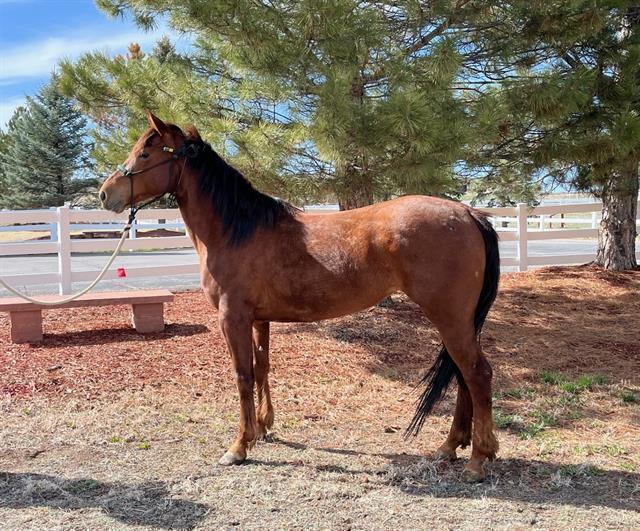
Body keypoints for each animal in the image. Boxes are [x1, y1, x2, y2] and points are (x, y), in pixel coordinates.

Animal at [99, 111, 500, 482]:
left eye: (146, 153)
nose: (105, 194)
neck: (237, 230)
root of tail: (468, 213)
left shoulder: (233, 318)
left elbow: (243, 375)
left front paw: (238, 447)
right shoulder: (258, 318)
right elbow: (262, 368)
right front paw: (262, 428)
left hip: (450, 318)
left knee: (477, 374)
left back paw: (477, 459)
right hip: (460, 321)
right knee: (463, 374)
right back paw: (451, 446)